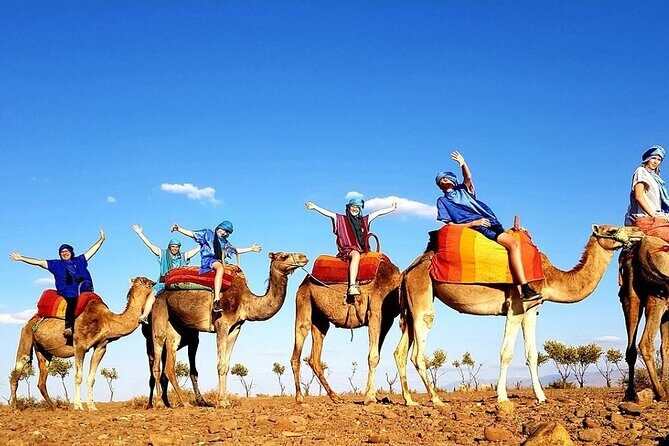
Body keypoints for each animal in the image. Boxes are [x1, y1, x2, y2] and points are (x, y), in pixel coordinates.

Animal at [9, 277, 153, 410]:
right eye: (145, 281)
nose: (154, 283)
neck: (106, 320)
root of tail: (31, 320)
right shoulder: (79, 346)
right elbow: (78, 376)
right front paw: (78, 406)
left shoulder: (101, 346)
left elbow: (91, 378)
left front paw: (92, 406)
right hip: (27, 335)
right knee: (19, 366)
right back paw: (15, 407)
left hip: (43, 350)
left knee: (42, 379)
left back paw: (54, 408)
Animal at [151, 251, 308, 408]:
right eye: (284, 256)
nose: (304, 257)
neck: (245, 300)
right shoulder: (222, 325)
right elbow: (220, 364)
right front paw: (221, 402)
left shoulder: (235, 328)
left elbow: (226, 365)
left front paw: (225, 400)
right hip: (159, 311)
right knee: (157, 355)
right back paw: (159, 403)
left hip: (176, 325)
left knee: (169, 365)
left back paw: (184, 403)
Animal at [290, 256, 402, 404]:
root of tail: (302, 283)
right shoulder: (375, 312)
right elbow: (373, 356)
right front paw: (370, 398)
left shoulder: (388, 320)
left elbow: (377, 355)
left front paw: (372, 396)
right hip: (303, 301)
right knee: (300, 337)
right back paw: (300, 398)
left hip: (319, 318)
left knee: (314, 356)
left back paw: (335, 397)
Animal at [394, 224, 644, 406]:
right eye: (611, 230)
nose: (638, 232)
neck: (549, 276)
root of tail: (408, 271)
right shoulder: (515, 306)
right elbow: (506, 353)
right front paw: (503, 397)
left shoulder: (532, 309)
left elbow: (532, 354)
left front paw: (541, 397)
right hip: (422, 295)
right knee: (418, 350)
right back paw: (436, 399)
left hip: (411, 306)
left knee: (400, 352)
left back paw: (410, 401)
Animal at [619, 235, 669, 401]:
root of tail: (642, 244)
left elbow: (665, 348)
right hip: (657, 298)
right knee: (645, 342)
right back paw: (661, 393)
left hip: (631, 299)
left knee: (631, 349)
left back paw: (630, 394)